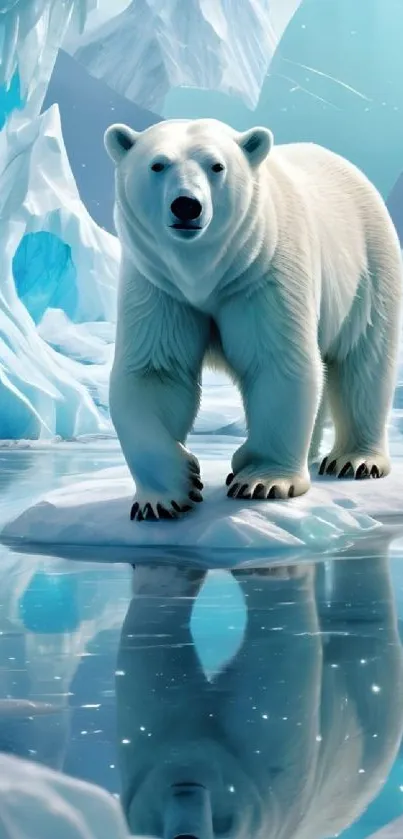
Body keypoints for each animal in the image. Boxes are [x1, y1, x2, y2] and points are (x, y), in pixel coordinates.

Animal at [105, 118, 403, 520]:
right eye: (158, 164)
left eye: (216, 166)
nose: (186, 205)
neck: (205, 274)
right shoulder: (159, 286)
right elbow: (156, 372)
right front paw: (167, 495)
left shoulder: (264, 272)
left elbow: (277, 363)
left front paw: (262, 480)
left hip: (368, 269)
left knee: (362, 362)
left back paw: (354, 460)